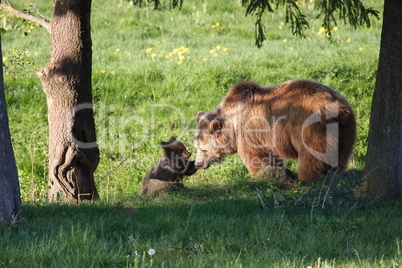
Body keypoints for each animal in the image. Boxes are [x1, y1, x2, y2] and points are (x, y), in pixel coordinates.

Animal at [194, 78, 354, 182]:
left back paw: (306, 178)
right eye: (196, 146)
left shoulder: (250, 131)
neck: (233, 124)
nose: (197, 164)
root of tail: (339, 108)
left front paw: (259, 174)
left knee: (312, 155)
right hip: (345, 129)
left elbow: (256, 156)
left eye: (203, 149)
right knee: (340, 155)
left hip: (310, 127)